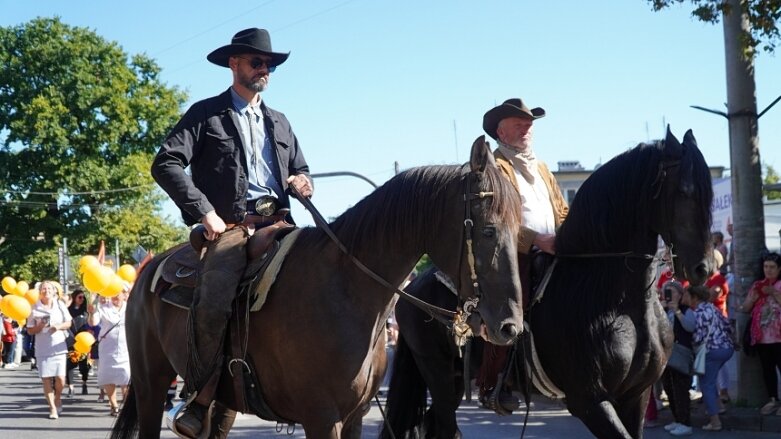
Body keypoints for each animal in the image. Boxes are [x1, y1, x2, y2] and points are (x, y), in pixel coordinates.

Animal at [109, 138, 524, 439]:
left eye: (519, 230)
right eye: (488, 230)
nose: (510, 327)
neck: (347, 290)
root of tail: (150, 271)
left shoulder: (355, 416)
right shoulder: (321, 418)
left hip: (223, 398)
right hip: (149, 384)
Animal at [380, 129, 716, 438]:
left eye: (710, 194)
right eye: (684, 191)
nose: (703, 267)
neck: (619, 302)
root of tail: (410, 290)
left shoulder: (635, 396)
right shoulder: (589, 401)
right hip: (436, 372)